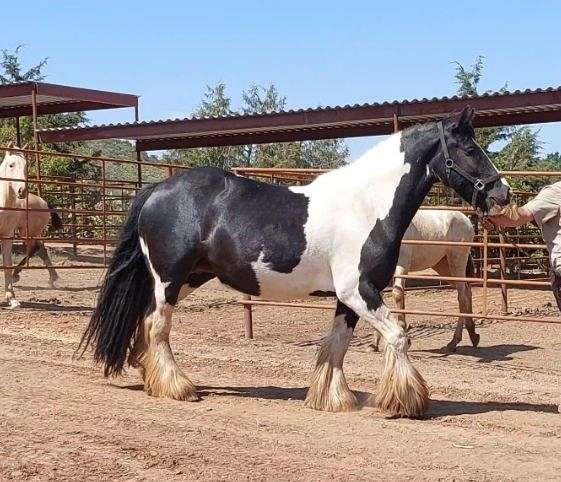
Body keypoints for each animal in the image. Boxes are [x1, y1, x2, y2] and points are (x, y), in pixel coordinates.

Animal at [80, 108, 512, 418]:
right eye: (470, 150)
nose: (502, 195)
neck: (366, 206)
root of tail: (156, 189)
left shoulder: (348, 298)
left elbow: (336, 345)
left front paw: (331, 398)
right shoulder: (360, 291)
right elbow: (397, 336)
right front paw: (404, 402)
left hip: (189, 278)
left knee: (147, 321)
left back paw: (149, 375)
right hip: (169, 278)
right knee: (158, 326)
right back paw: (177, 387)